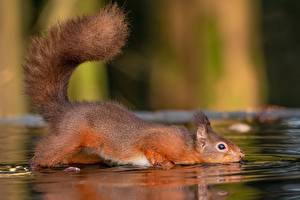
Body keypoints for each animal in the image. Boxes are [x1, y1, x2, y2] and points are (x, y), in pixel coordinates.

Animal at [22, 3, 244, 170]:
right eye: (222, 146)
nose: (241, 154)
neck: (188, 147)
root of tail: (64, 110)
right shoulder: (159, 138)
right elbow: (147, 145)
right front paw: (161, 161)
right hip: (68, 137)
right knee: (42, 155)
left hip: (83, 152)